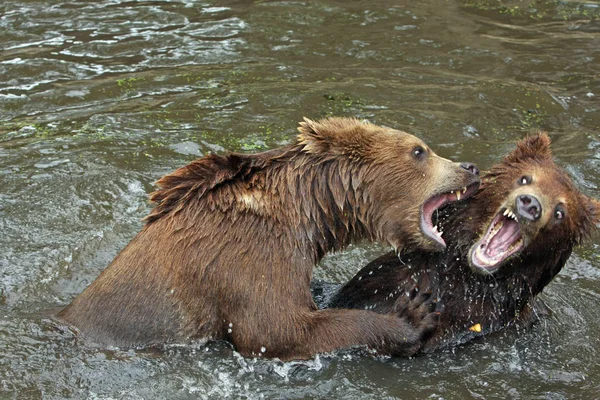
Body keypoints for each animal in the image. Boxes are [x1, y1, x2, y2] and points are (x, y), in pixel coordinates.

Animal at [58, 116, 480, 360]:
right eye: (419, 150)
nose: (469, 167)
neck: (308, 209)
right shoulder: (250, 251)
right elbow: (279, 330)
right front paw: (413, 313)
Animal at [328, 133, 600, 352]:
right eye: (525, 179)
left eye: (560, 212)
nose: (530, 204)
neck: (460, 274)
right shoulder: (380, 283)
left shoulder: (466, 321)